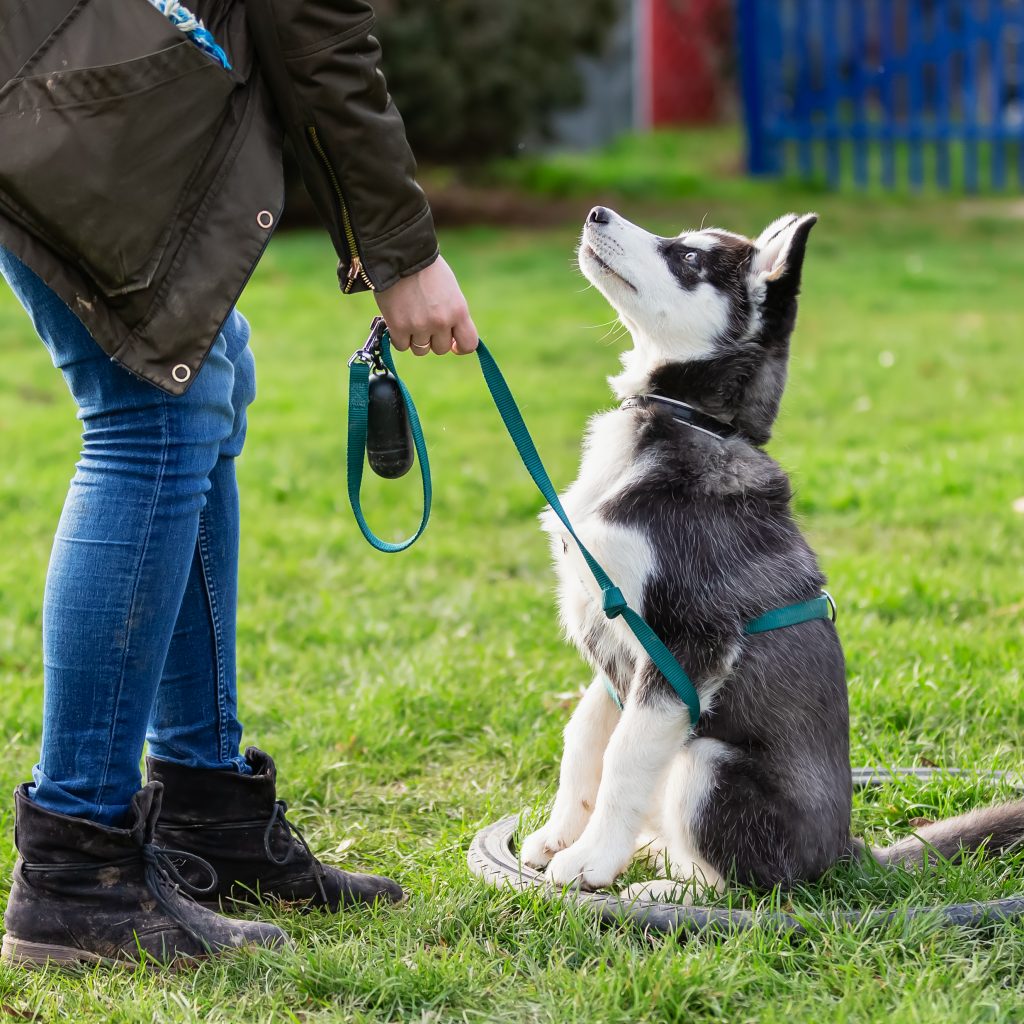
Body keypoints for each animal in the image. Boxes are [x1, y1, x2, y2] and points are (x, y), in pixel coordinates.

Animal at [520, 209, 1024, 905]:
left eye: (688, 258)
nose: (597, 212)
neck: (691, 421)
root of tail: (844, 855)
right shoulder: (615, 642)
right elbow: (585, 738)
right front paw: (558, 835)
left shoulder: (688, 644)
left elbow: (623, 756)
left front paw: (590, 861)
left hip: (708, 763)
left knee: (749, 886)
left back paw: (665, 891)